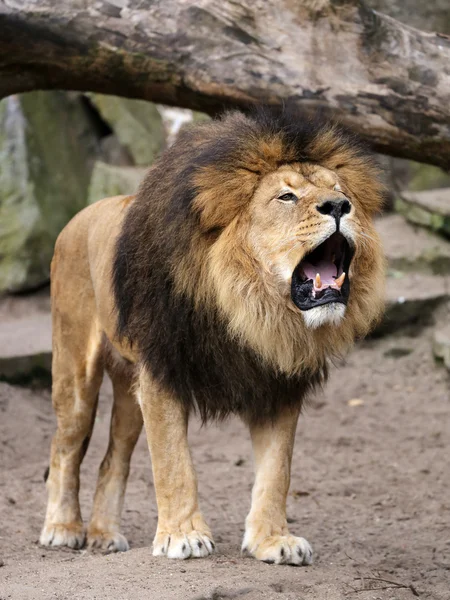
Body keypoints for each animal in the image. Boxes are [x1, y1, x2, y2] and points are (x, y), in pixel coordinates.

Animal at [39, 106, 384, 564]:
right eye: (286, 197)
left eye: (341, 191)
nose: (339, 206)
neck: (250, 307)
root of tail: (80, 215)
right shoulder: (163, 373)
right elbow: (174, 463)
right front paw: (183, 536)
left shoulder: (277, 383)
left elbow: (277, 471)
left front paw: (273, 540)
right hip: (76, 371)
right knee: (64, 447)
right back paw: (62, 528)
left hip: (129, 392)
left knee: (113, 459)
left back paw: (104, 534)